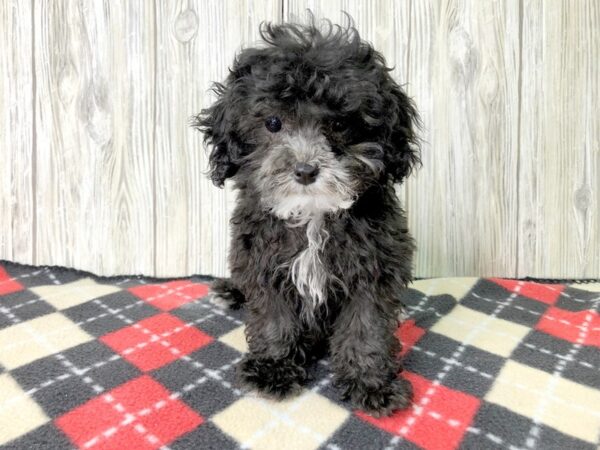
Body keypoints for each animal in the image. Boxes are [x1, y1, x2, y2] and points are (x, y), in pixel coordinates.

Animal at [195, 19, 420, 416]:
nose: (304, 170)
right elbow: (273, 318)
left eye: (340, 125)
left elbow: (366, 325)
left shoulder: (374, 267)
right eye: (272, 123)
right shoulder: (262, 261)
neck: (313, 213)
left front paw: (371, 382)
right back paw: (228, 291)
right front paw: (273, 368)